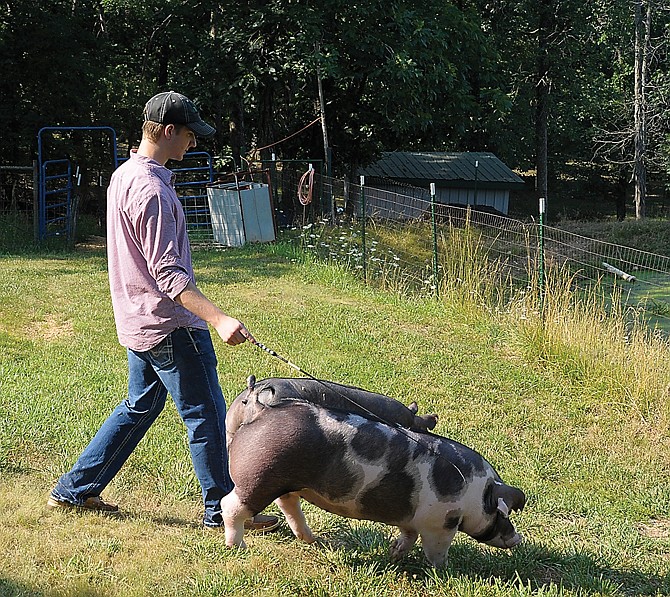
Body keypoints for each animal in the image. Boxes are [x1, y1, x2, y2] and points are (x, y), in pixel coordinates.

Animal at [223, 374, 528, 564]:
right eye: (502, 513)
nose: (518, 538)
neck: (476, 493)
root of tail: (261, 407)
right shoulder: (440, 522)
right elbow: (436, 550)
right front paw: (444, 571)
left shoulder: (412, 518)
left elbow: (408, 536)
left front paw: (394, 554)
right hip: (259, 477)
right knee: (232, 506)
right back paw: (237, 547)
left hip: (287, 479)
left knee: (288, 504)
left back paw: (312, 540)